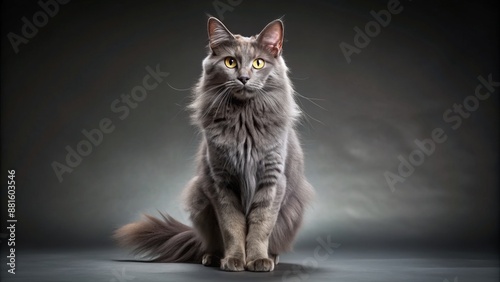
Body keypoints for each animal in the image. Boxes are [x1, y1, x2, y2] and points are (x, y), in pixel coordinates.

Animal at [115, 16, 314, 272]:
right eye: (230, 62)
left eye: (258, 63)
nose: (244, 78)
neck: (244, 121)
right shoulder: (221, 182)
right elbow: (232, 227)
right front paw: (234, 260)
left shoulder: (271, 180)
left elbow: (260, 226)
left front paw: (258, 260)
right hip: (199, 198)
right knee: (211, 243)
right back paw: (211, 257)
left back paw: (272, 257)